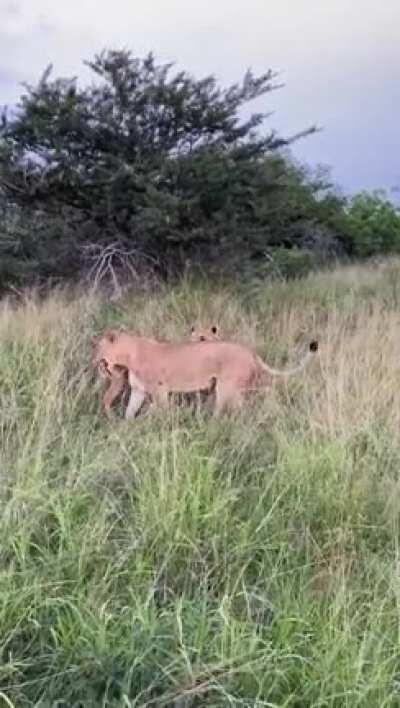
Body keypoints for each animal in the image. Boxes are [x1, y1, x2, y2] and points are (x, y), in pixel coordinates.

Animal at [91, 329, 318, 419]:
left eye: (98, 347)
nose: (93, 361)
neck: (129, 356)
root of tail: (249, 351)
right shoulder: (138, 390)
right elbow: (130, 411)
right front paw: (126, 428)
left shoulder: (160, 391)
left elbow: (156, 411)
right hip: (239, 387)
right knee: (255, 398)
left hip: (226, 387)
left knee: (226, 411)